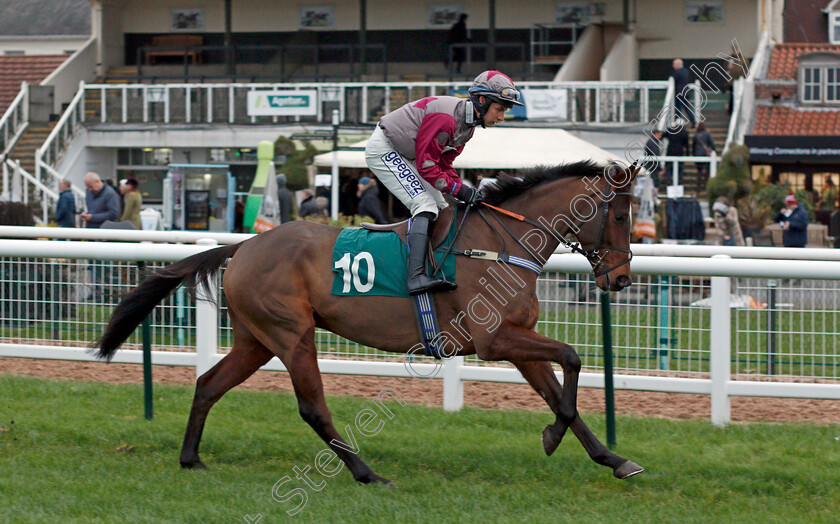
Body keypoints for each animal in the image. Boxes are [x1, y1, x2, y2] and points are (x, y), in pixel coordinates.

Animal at [95, 159, 644, 484]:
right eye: (619, 215)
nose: (620, 278)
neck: (501, 241)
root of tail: (244, 246)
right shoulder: (495, 341)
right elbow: (572, 358)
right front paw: (555, 437)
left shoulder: (517, 339)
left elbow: (560, 391)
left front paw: (613, 459)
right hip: (291, 335)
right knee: (312, 407)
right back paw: (365, 472)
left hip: (256, 339)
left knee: (209, 384)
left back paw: (190, 457)